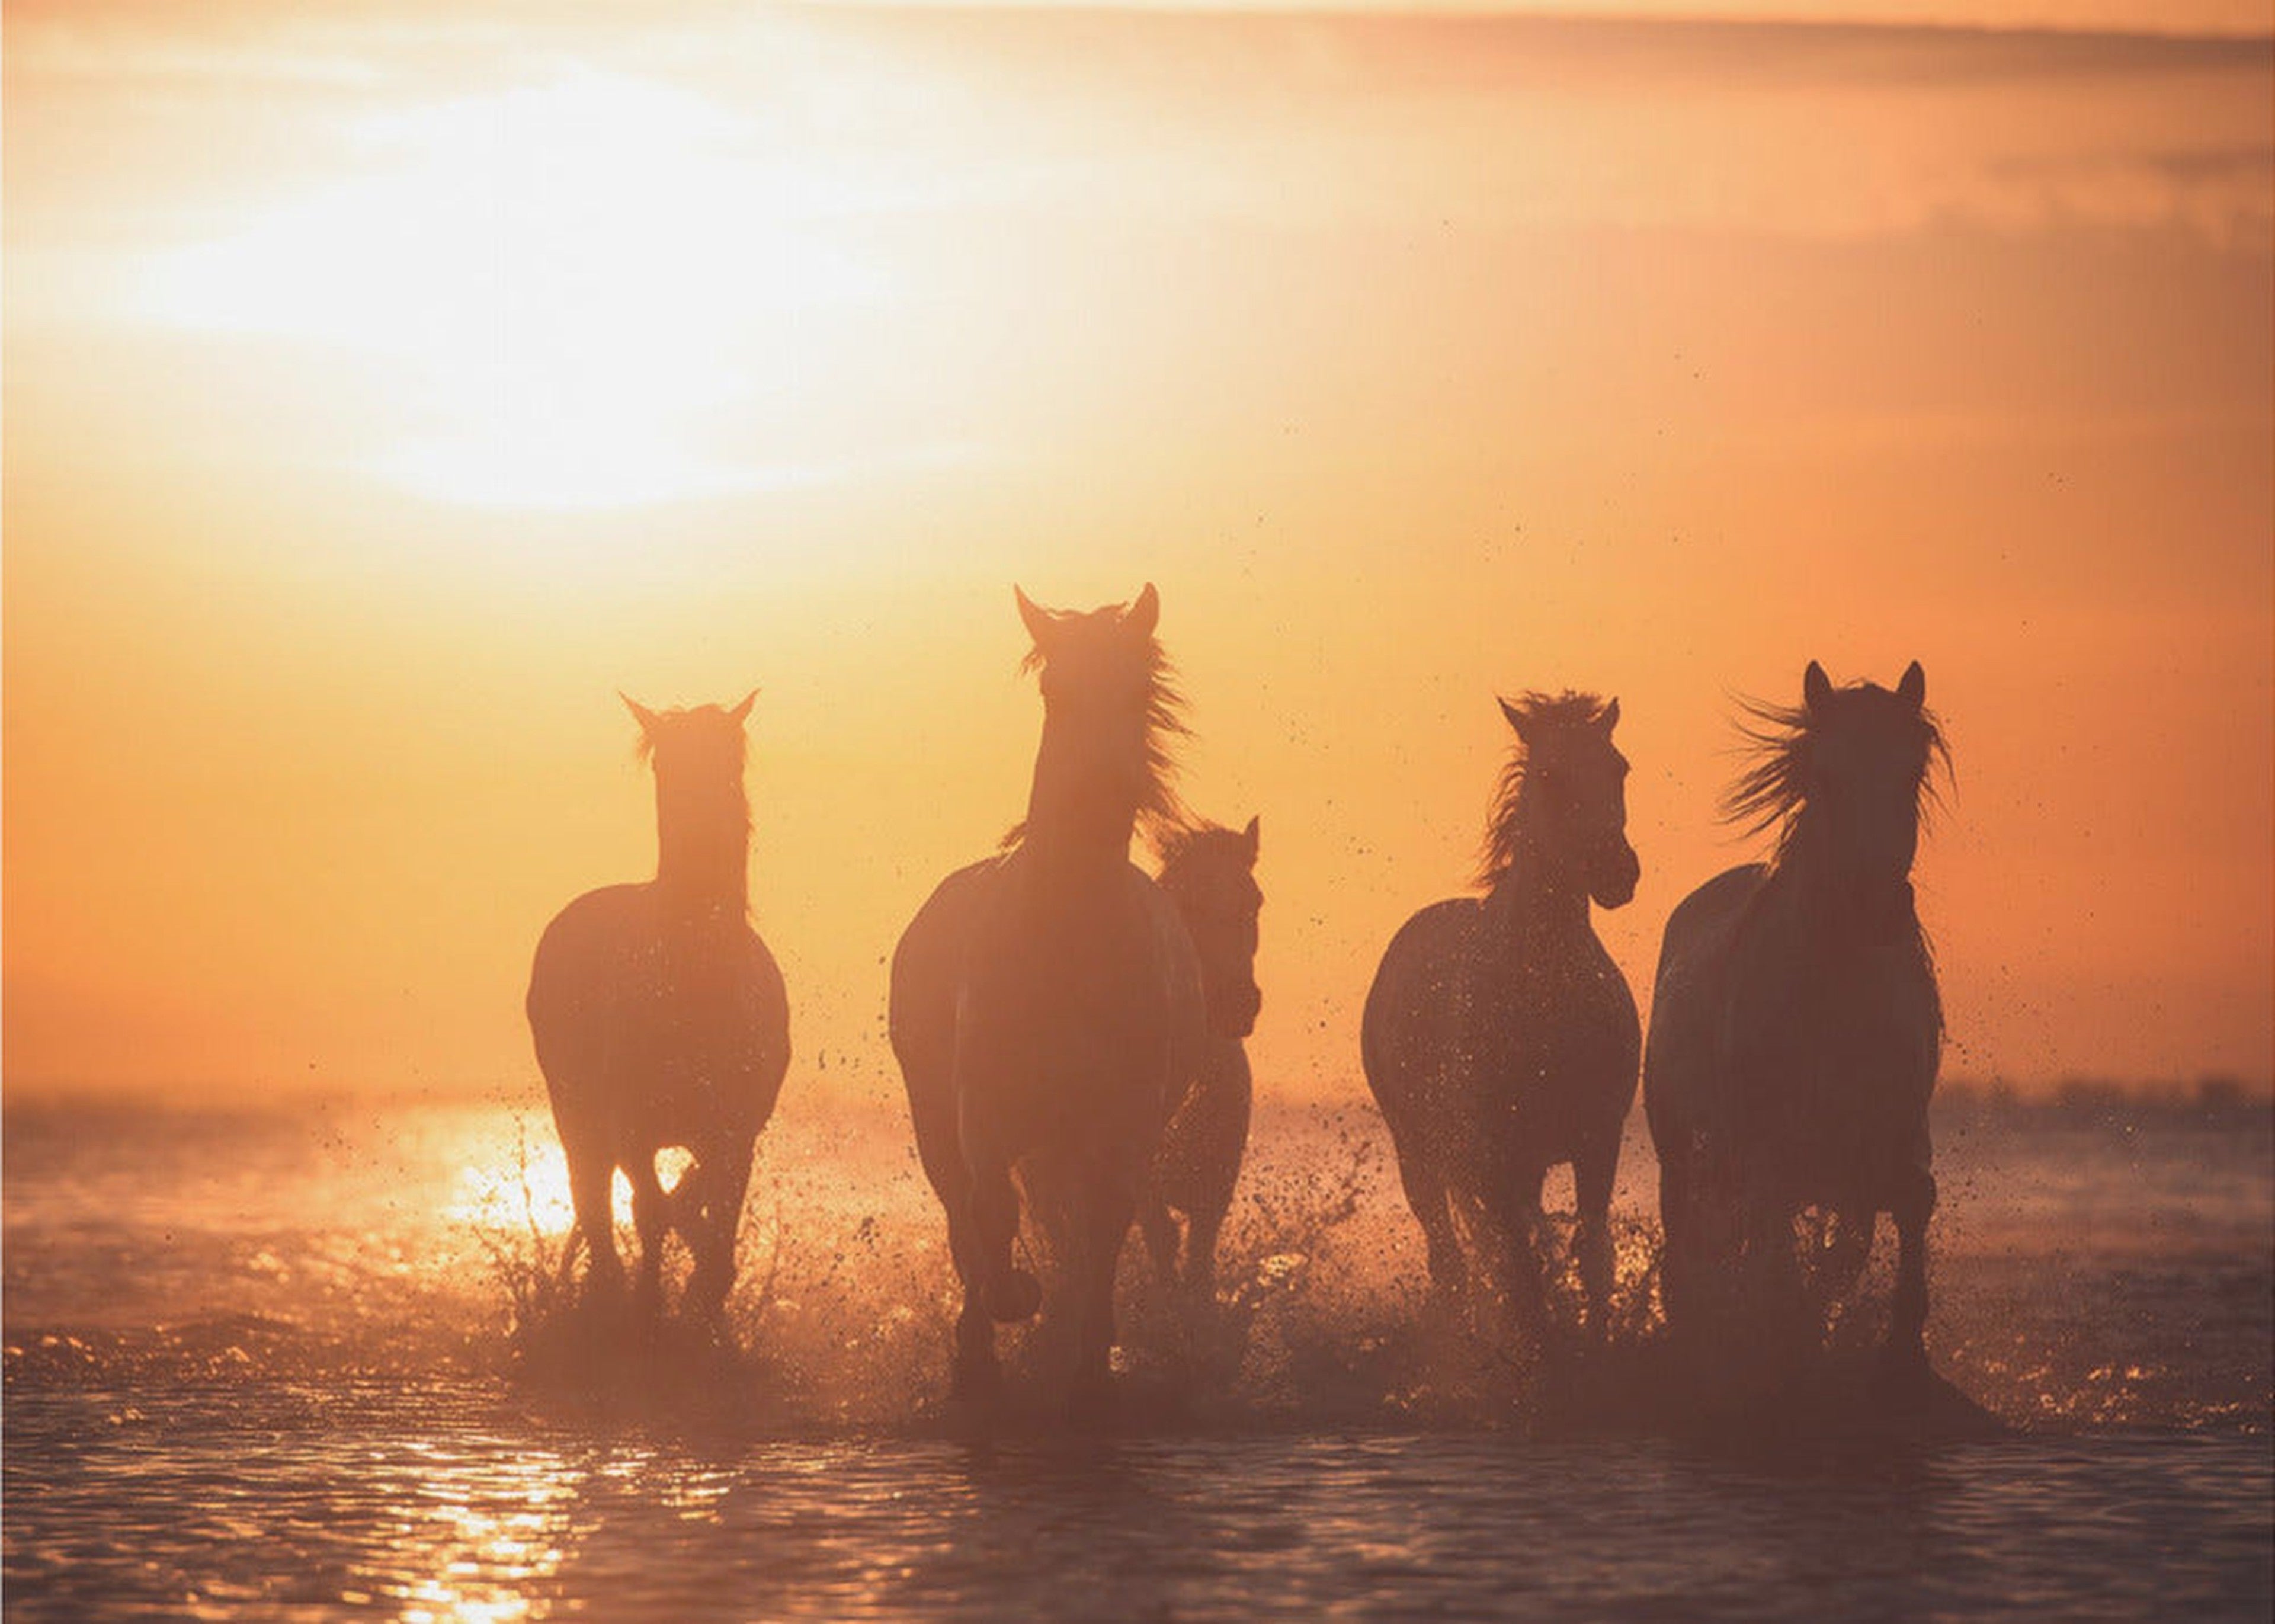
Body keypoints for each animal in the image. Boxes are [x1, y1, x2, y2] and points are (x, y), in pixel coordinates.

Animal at [523, 691, 792, 1319]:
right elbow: (648, 1211)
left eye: (732, 759)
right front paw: (647, 1303)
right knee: (593, 1195)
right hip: (576, 1112)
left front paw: (704, 1294)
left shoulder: (736, 1131)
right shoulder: (632, 1128)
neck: (696, 985)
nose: (708, 832)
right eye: (664, 766)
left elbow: (707, 1220)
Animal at [887, 582, 1210, 1401]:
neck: (1066, 940)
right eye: (1053, 690)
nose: (1098, 788)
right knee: (964, 1216)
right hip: (938, 1120)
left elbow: (1103, 1226)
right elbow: (990, 1212)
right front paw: (1008, 1306)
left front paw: (1090, 1356)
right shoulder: (982, 1109)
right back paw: (979, 1343)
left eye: (1137, 689)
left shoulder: (1123, 1122)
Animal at [1138, 809, 1265, 1301]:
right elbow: (1162, 1240)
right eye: (1188, 904)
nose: (1238, 1002)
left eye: (1255, 901)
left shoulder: (1216, 1189)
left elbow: (1198, 1261)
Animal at [1356, 687, 1647, 1328]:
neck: (1542, 992)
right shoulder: (1495, 1161)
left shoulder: (1597, 1140)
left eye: (1620, 766)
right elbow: (1521, 1277)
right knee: (1450, 1262)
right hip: (1419, 1155)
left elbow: (1591, 1257)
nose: (1616, 870)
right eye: (1550, 775)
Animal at [1647, 655, 1947, 1383]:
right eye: (1825, 775)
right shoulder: (1767, 1152)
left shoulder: (1892, 1135)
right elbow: (1773, 1242)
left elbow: (1905, 1205)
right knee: (1693, 1238)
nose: (1875, 905)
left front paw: (1902, 1343)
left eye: (1911, 771)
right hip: (1681, 1154)